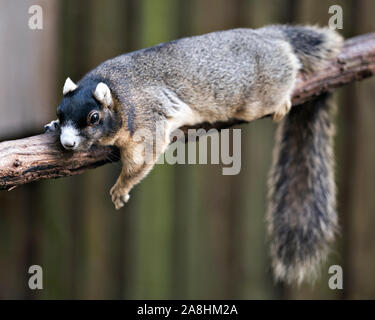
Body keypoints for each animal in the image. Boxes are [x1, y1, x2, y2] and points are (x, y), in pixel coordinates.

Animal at [44, 25, 344, 284]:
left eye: (94, 118)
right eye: (60, 111)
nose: (68, 143)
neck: (117, 93)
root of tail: (266, 36)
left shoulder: (147, 120)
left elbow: (142, 157)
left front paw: (121, 187)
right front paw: (53, 125)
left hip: (260, 91)